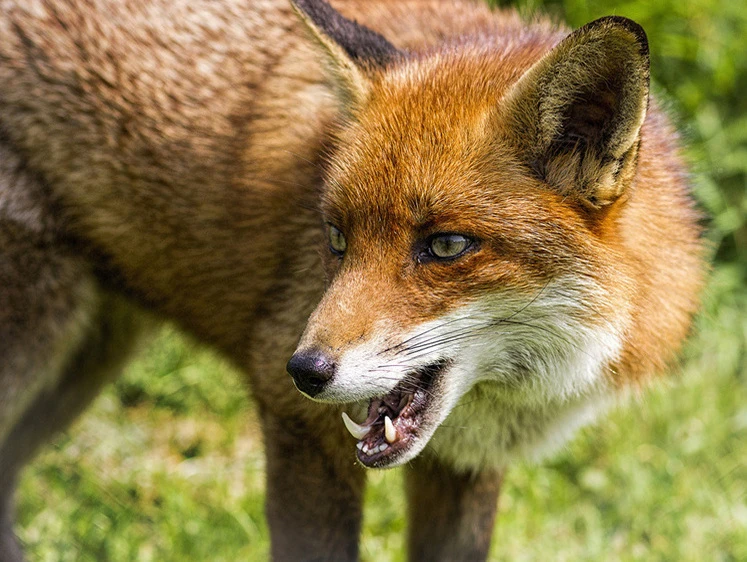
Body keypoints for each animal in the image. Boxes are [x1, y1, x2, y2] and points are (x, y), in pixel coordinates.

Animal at [0, 0, 705, 560]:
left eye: (446, 245)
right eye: (337, 239)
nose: (304, 371)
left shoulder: (467, 466)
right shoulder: (300, 427)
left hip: (84, 363)